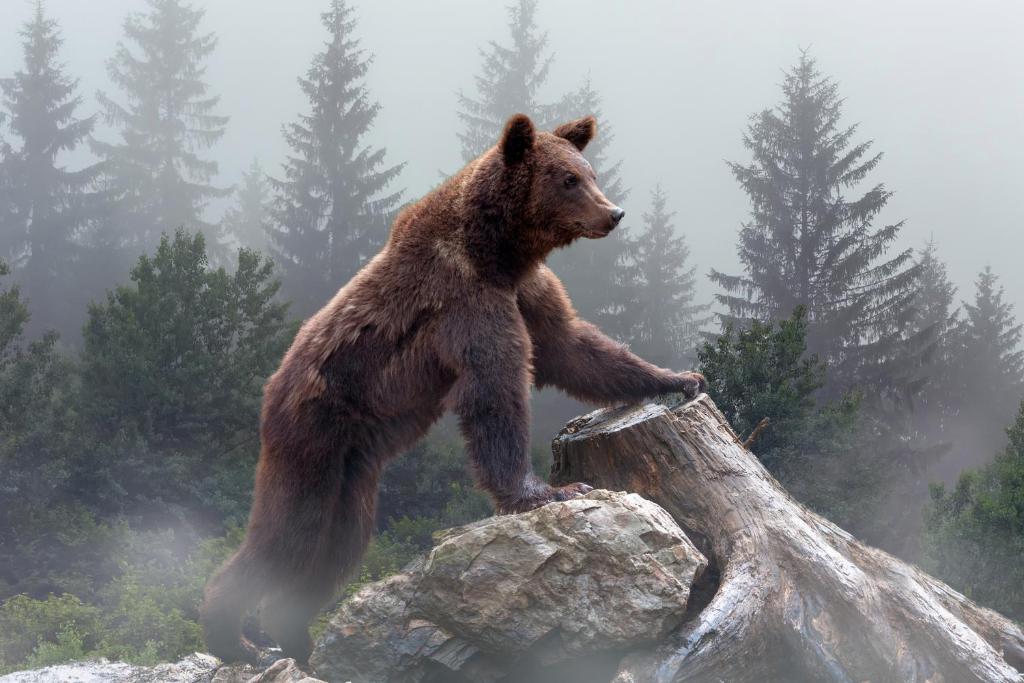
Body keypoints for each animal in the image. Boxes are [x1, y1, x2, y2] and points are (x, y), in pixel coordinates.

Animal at [203, 114, 708, 663]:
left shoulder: (526, 290)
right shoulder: (465, 299)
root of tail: (273, 385)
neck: (498, 252)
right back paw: (234, 638)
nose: (612, 213)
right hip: (312, 434)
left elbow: (572, 347)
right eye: (569, 179)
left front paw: (680, 378)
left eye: (590, 172)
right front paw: (548, 491)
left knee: (341, 544)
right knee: (289, 532)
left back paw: (293, 633)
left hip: (353, 469)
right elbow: (495, 389)